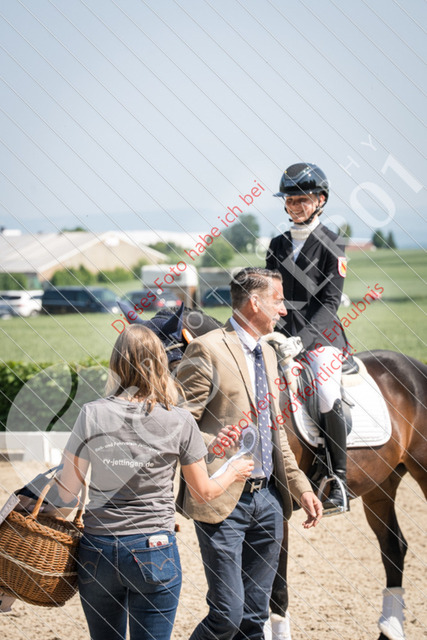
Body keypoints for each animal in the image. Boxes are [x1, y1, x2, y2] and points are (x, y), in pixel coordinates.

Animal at [119, 302, 427, 640]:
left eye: (166, 367)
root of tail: (414, 367)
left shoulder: (281, 511)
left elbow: (275, 590)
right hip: (381, 486)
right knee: (393, 548)